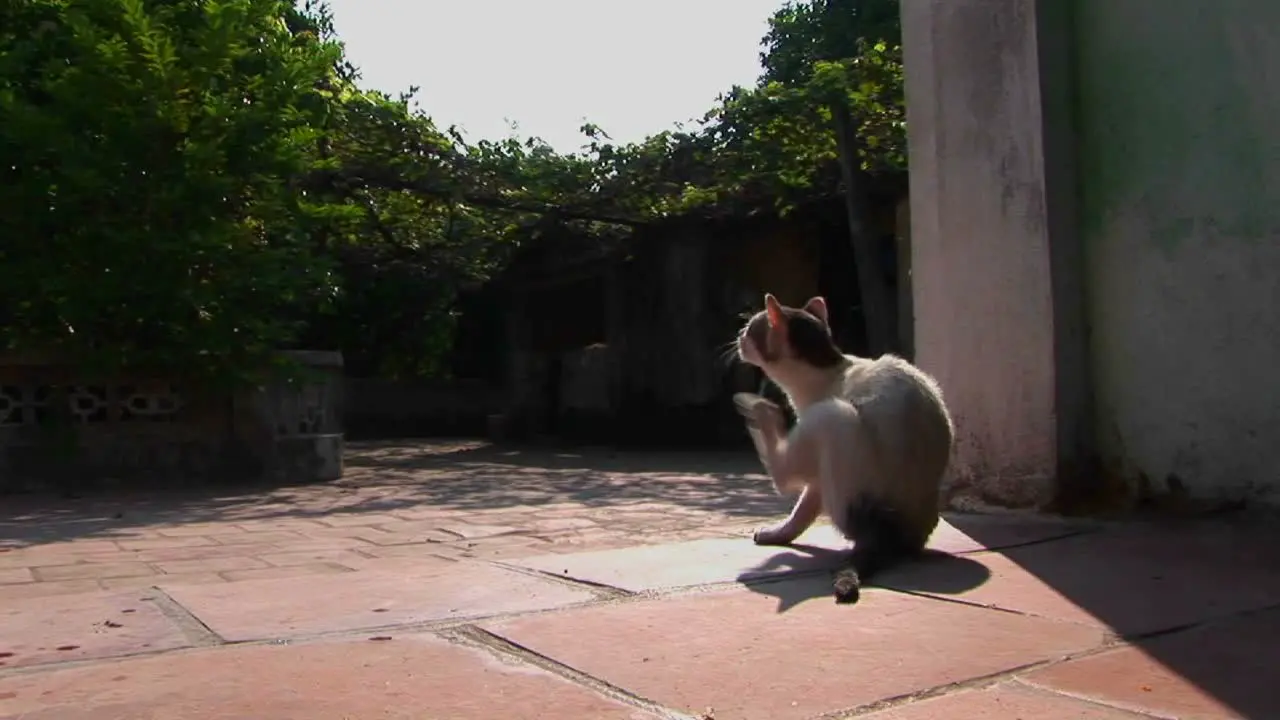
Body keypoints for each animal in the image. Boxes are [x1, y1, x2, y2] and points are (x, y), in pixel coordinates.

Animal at [732, 292, 952, 599]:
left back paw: (758, 409)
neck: (830, 370)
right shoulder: (817, 476)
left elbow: (798, 499)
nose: (739, 335)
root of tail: (887, 531)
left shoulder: (814, 443)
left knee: (782, 476)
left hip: (833, 416)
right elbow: (800, 513)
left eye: (750, 328)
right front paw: (779, 535)